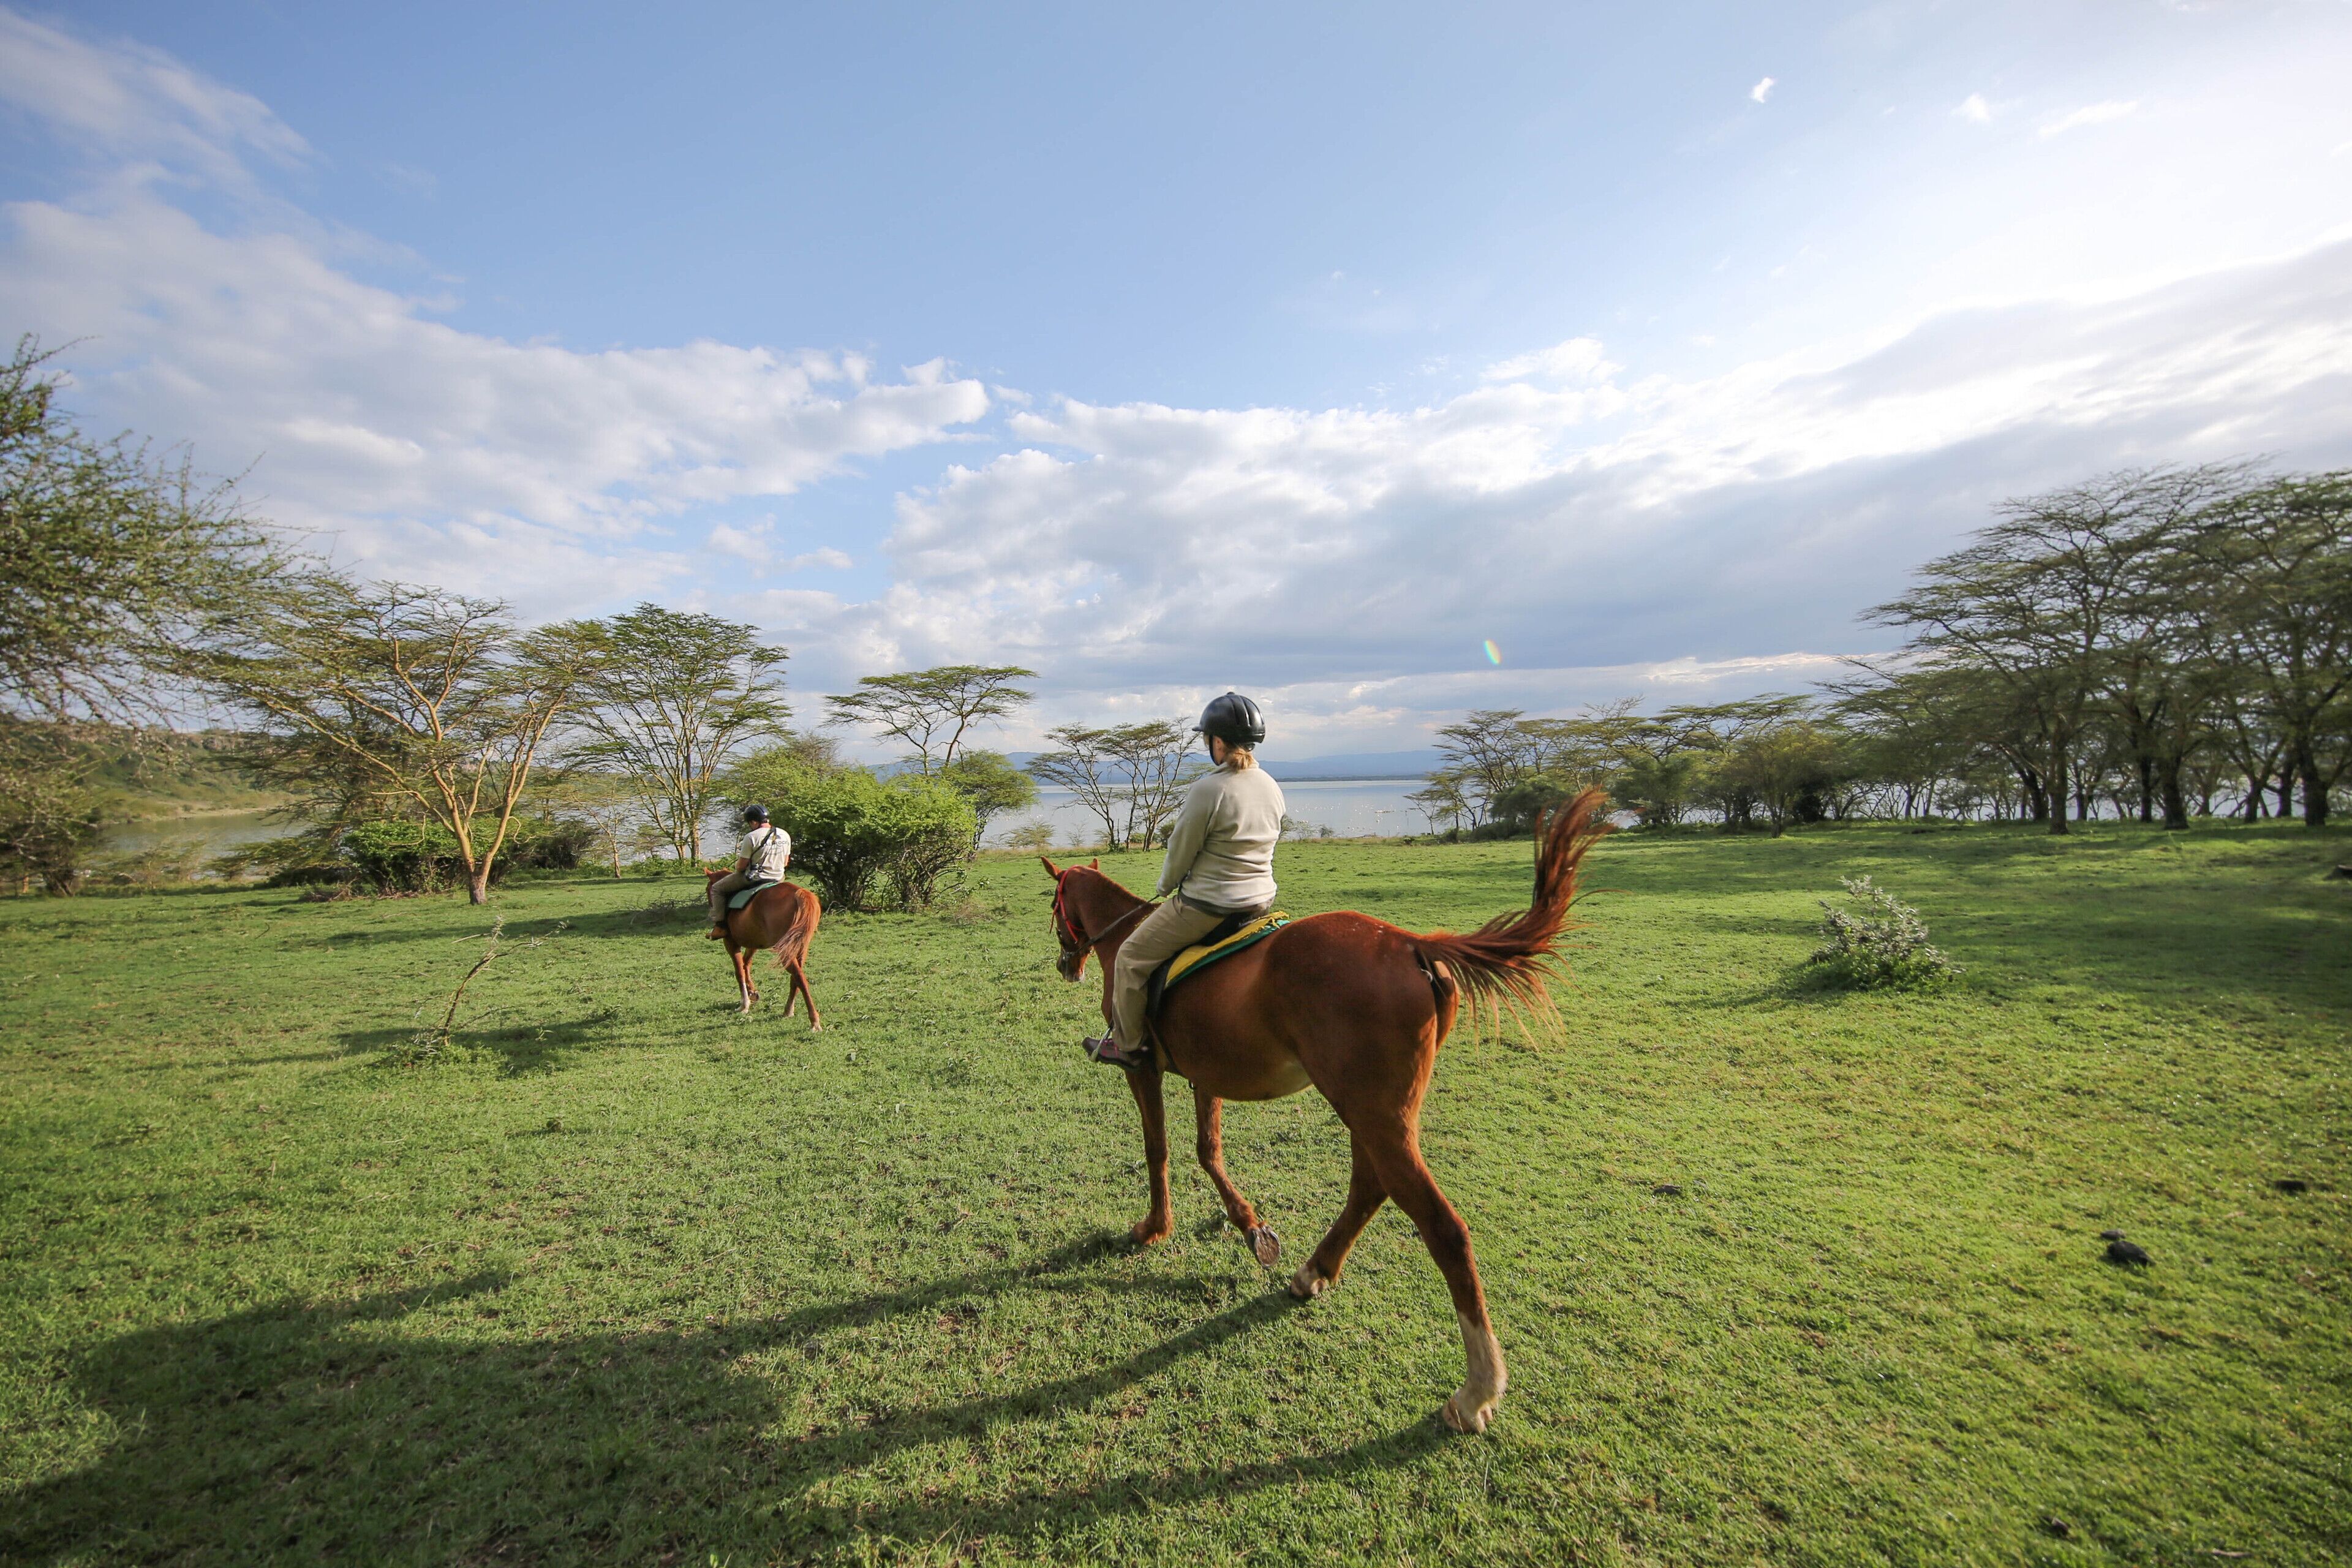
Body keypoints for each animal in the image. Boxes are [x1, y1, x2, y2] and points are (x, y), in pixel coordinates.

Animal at [702, 869, 824, 1026]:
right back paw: (789, 1009)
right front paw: (752, 993)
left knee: (799, 977)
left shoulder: (730, 943)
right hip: (800, 947)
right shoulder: (754, 944)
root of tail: (799, 893)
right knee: (796, 978)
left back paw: (814, 1020)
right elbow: (746, 965)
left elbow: (739, 972)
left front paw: (744, 1004)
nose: (711, 912)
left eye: (708, 890)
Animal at [1041, 790, 1610, 1434]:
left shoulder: (1142, 1069)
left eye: (1055, 905)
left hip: (1368, 1109)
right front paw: (1250, 1226)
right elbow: (1208, 1149)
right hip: (1373, 1108)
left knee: (1441, 1226)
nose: (1066, 963)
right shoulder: (1208, 1073)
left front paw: (1156, 1228)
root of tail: (1412, 943)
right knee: (1371, 1186)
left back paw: (1476, 1391)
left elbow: (1158, 1148)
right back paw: (1314, 1272)